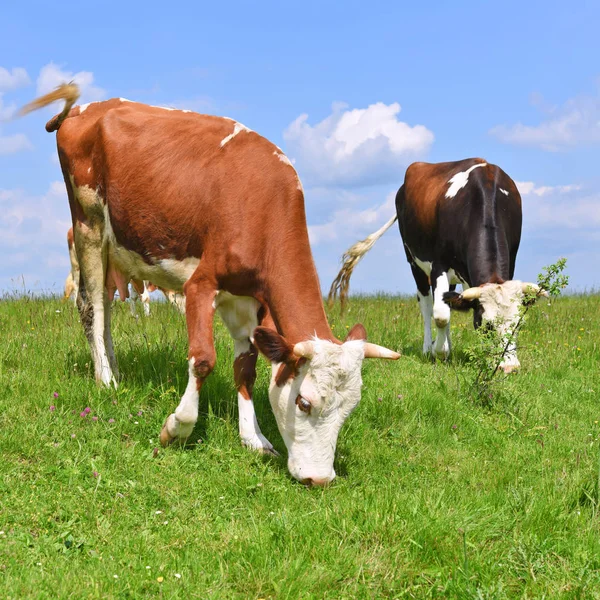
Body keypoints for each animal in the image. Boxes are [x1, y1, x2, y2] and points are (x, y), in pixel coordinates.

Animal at [22, 84, 398, 486]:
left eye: (349, 411)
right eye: (304, 402)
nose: (320, 479)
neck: (261, 205)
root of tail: (85, 109)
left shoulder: (249, 299)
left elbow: (246, 367)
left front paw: (254, 438)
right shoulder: (200, 285)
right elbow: (203, 360)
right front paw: (177, 428)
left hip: (115, 245)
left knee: (106, 307)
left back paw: (112, 369)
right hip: (88, 223)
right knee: (91, 305)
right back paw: (106, 380)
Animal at [330, 157, 548, 372]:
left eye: (519, 324)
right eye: (486, 325)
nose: (509, 367)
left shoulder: (503, 263)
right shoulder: (438, 265)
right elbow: (441, 315)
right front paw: (439, 351)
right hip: (414, 262)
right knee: (427, 304)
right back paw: (429, 347)